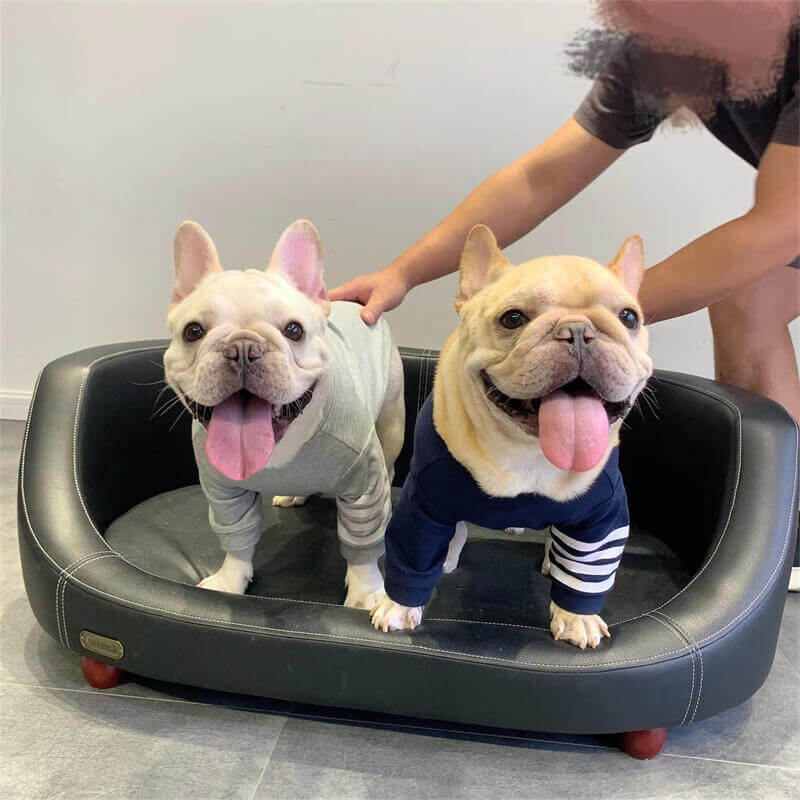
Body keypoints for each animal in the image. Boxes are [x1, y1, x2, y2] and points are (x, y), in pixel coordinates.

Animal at [163, 219, 405, 608]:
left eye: (294, 330)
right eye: (193, 332)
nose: (242, 348)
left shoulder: (363, 490)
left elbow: (363, 547)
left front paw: (366, 592)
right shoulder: (223, 492)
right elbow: (237, 538)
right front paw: (230, 580)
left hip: (392, 422)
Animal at [371, 225, 652, 648]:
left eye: (629, 317)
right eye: (513, 318)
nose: (578, 330)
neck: (528, 451)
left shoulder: (602, 517)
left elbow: (586, 574)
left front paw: (578, 617)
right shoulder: (424, 505)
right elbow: (413, 558)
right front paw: (399, 606)